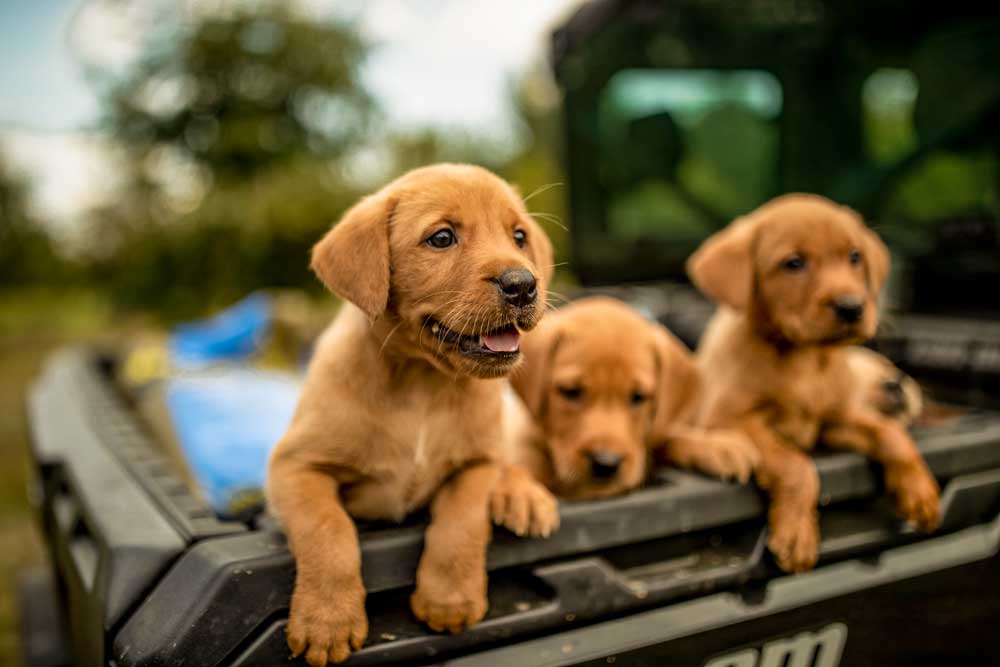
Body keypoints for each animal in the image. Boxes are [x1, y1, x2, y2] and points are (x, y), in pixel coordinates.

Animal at [266, 164, 560, 664]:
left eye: (519, 235)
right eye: (441, 238)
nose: (523, 285)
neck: (423, 384)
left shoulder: (479, 463)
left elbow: (462, 520)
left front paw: (448, 602)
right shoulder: (294, 467)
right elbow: (328, 531)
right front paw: (327, 622)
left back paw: (524, 496)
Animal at [692, 194, 940, 576]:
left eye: (854, 257)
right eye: (793, 263)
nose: (852, 307)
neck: (803, 359)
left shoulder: (833, 421)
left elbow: (890, 433)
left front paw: (920, 491)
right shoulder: (729, 421)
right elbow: (795, 465)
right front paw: (797, 535)